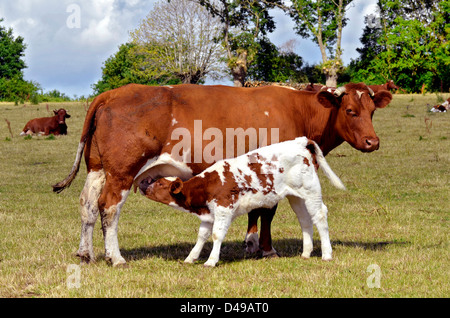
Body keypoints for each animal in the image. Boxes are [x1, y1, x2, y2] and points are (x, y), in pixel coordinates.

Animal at [51, 82, 390, 266]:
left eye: (372, 111)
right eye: (350, 111)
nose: (373, 142)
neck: (298, 109)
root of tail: (113, 93)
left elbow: (256, 211)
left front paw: (251, 244)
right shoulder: (270, 172)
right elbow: (267, 212)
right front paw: (265, 248)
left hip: (97, 169)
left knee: (87, 206)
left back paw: (85, 254)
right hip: (121, 172)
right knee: (109, 208)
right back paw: (116, 257)